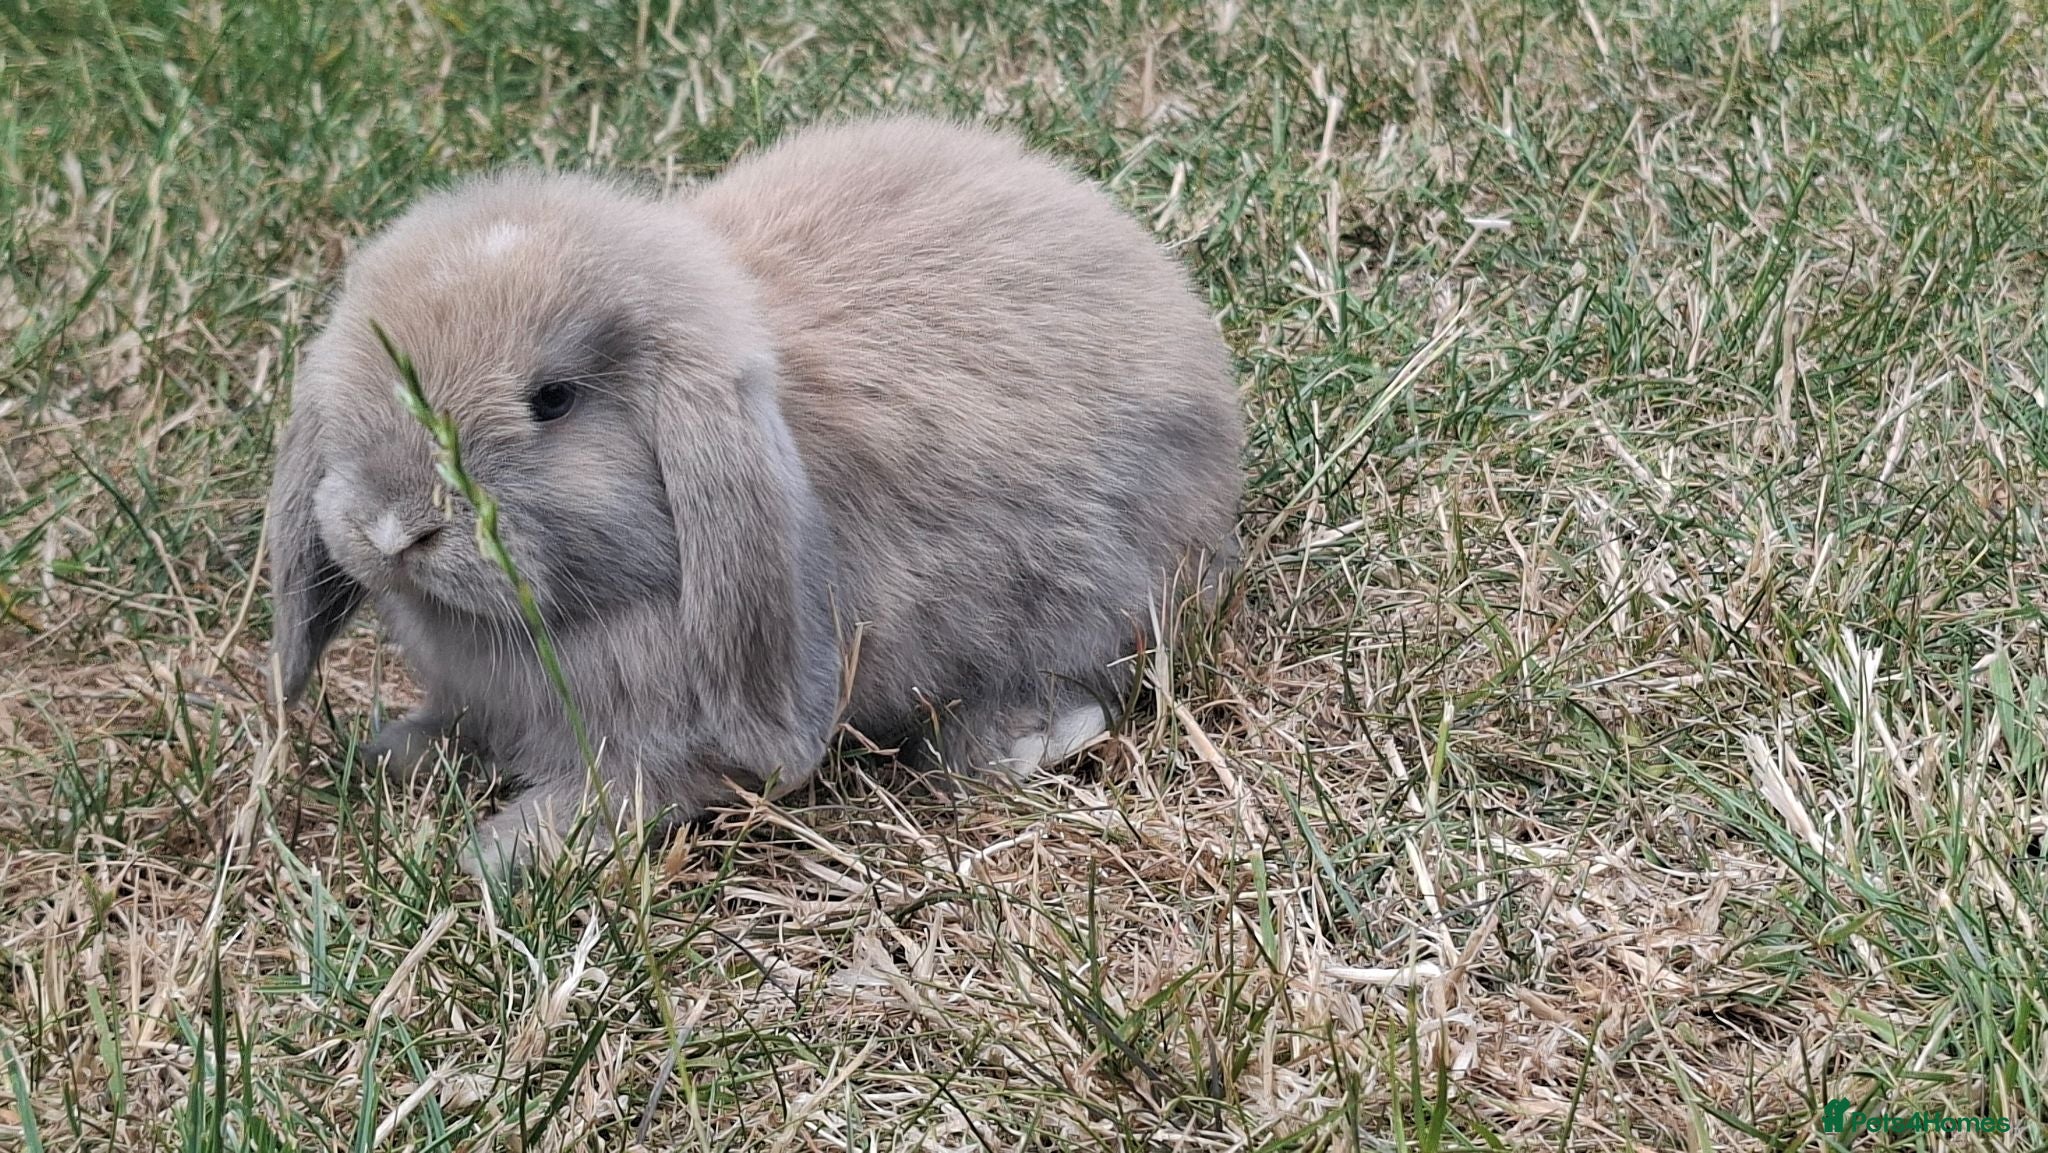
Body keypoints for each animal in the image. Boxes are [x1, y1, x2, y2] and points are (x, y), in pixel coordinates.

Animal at [267, 115, 1244, 880]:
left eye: (554, 398)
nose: (393, 527)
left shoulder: (668, 739)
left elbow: (636, 787)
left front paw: (503, 851)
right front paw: (393, 754)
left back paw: (1022, 741)